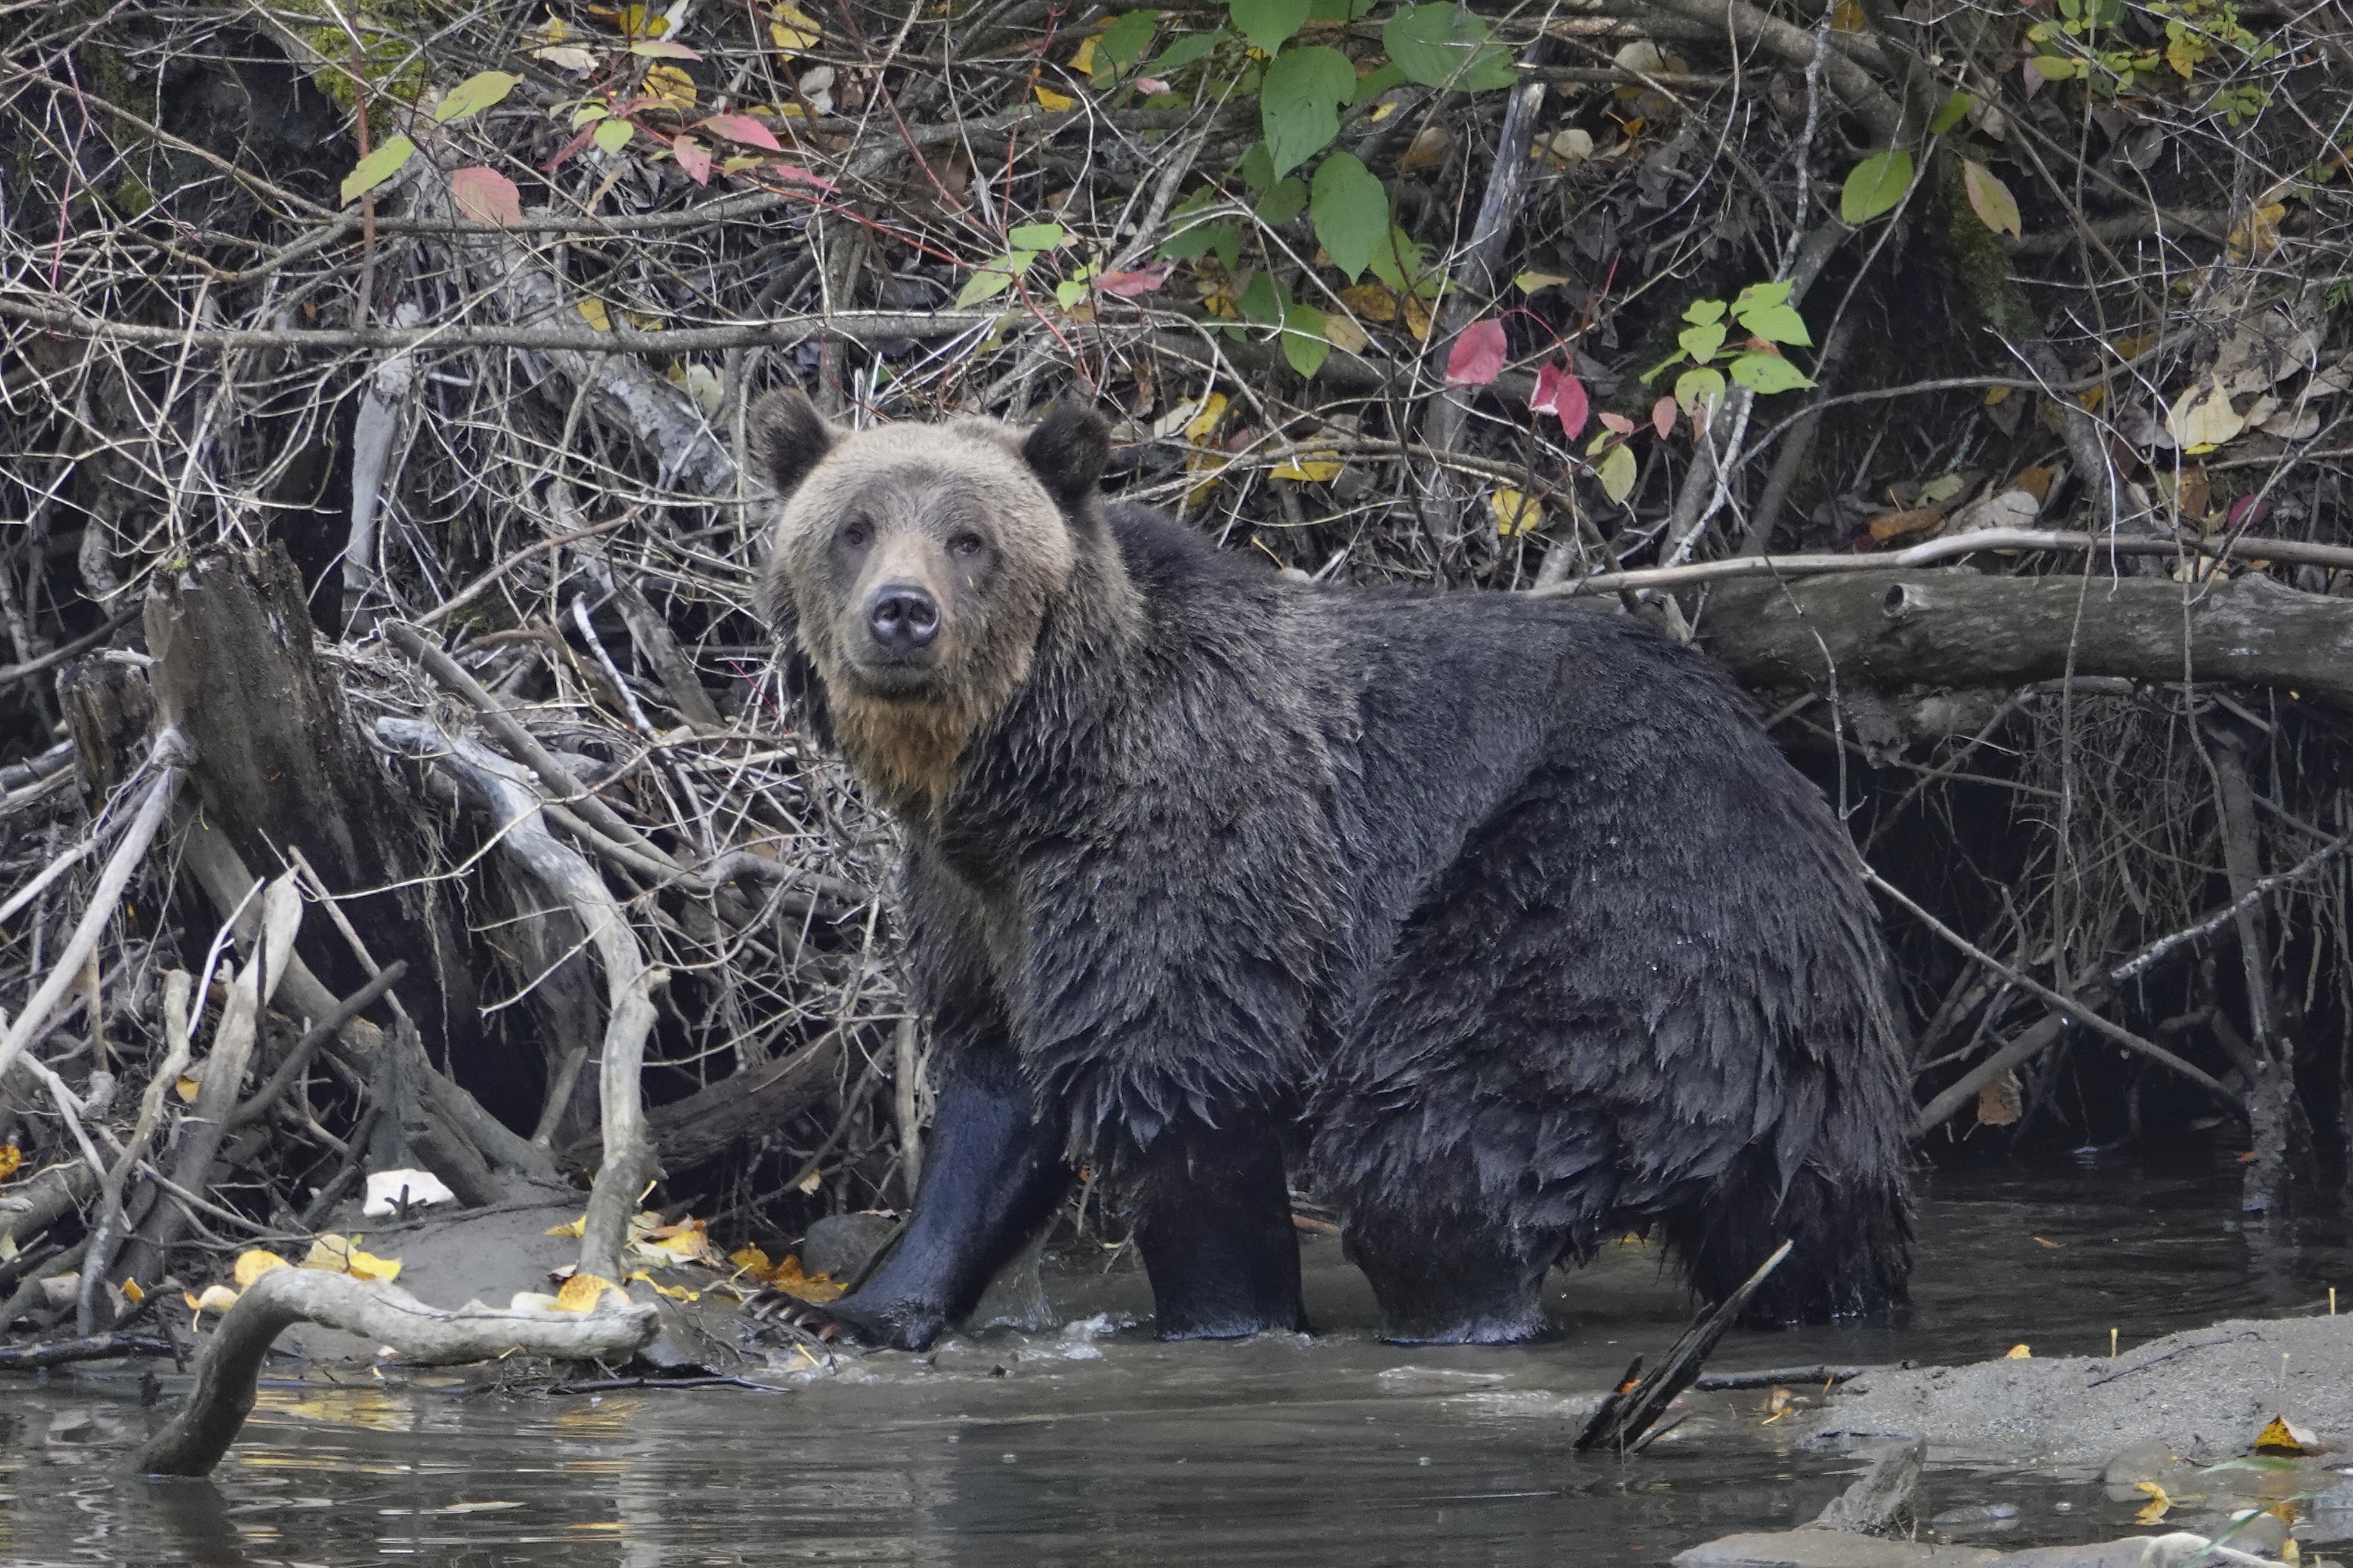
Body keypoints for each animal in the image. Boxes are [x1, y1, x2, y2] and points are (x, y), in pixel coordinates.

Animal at [745, 391, 1913, 1350]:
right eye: (853, 528)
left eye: (970, 537)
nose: (903, 612)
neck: (1026, 766)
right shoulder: (976, 897)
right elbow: (993, 1098)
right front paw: (848, 1304)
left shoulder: (1188, 835)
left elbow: (1185, 1083)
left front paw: (1226, 1316)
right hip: (1800, 1062)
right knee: (1807, 1220)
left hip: (1609, 892)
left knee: (1443, 1136)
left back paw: (1458, 1313)